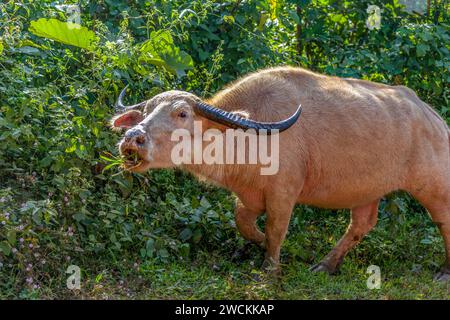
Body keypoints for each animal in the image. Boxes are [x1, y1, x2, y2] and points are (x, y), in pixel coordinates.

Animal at [110, 67, 450, 280]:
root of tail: (433, 118)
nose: (132, 138)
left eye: (182, 114)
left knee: (443, 220)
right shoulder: (247, 196)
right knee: (361, 224)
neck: (246, 136)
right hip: (367, 191)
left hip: (434, 185)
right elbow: (243, 223)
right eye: (147, 111)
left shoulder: (283, 194)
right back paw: (326, 265)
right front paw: (260, 243)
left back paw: (444, 271)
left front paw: (270, 266)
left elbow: (276, 230)